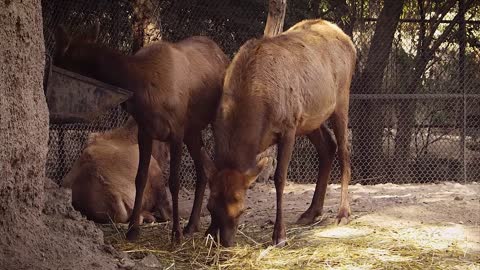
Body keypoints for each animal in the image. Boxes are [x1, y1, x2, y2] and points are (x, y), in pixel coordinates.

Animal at [205, 19, 356, 247]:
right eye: (210, 207)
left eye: (241, 210)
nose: (226, 242)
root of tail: (350, 43)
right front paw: (208, 233)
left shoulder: (288, 126)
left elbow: (279, 178)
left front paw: (279, 235)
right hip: (310, 119)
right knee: (328, 146)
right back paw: (311, 212)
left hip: (340, 100)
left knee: (344, 151)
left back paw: (343, 213)